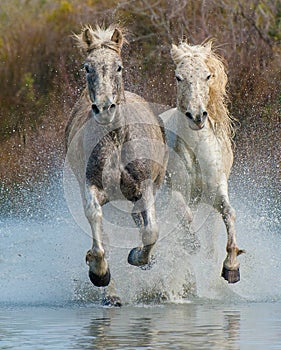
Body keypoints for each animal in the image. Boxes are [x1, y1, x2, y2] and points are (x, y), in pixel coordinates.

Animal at [163, 39, 244, 284]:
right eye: (178, 77)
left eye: (208, 76)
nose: (197, 117)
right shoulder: (177, 190)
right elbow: (183, 214)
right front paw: (190, 244)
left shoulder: (215, 191)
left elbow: (229, 213)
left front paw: (231, 267)